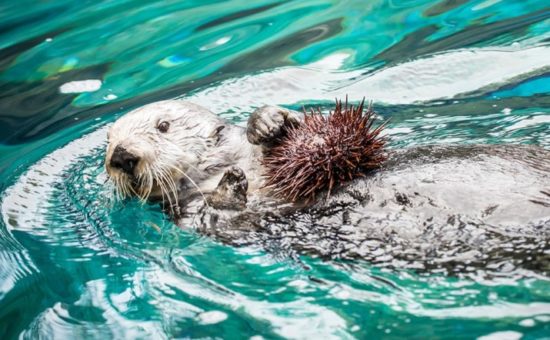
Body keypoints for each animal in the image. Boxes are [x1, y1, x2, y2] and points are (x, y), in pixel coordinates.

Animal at [104, 99, 550, 272]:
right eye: (108, 142)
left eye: (163, 126)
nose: (121, 156)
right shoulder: (190, 215)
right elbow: (222, 220)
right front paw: (230, 187)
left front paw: (267, 122)